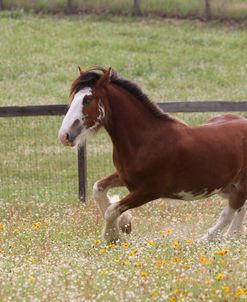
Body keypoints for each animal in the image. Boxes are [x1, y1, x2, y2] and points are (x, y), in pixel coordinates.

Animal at [58, 66, 247, 243]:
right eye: (74, 98)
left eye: (88, 99)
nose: (64, 136)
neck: (146, 140)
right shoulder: (126, 178)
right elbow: (98, 188)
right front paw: (125, 224)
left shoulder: (149, 190)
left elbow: (112, 210)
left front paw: (113, 236)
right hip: (225, 187)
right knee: (240, 208)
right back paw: (232, 236)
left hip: (239, 186)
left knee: (230, 211)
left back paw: (207, 239)